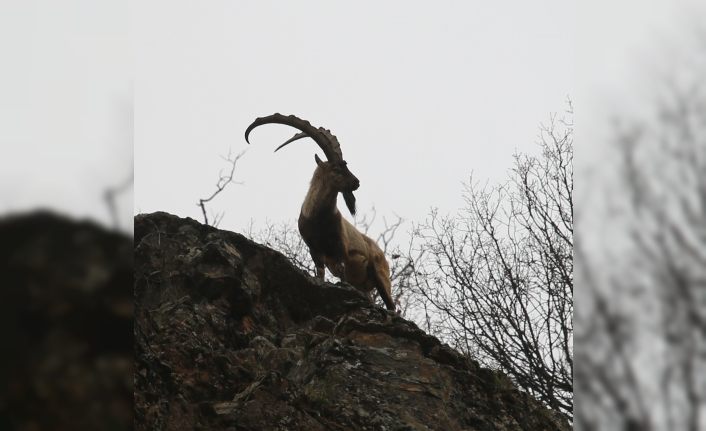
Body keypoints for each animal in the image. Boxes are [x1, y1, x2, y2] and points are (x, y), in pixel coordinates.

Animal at [245, 114, 394, 310]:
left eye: (345, 165)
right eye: (337, 168)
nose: (357, 182)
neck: (319, 219)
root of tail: (380, 252)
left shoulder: (340, 249)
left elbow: (342, 273)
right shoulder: (315, 250)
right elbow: (321, 274)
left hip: (381, 277)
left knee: (392, 305)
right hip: (364, 285)